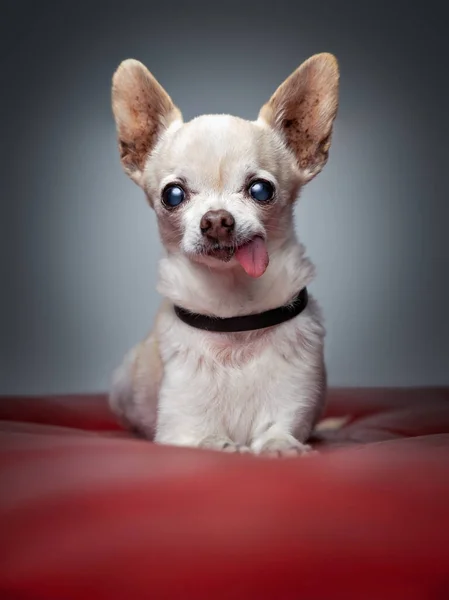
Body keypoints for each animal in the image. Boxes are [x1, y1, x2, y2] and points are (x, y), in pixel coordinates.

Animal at [109, 54, 340, 454]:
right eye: (173, 195)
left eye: (261, 190)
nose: (216, 220)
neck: (234, 317)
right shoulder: (179, 428)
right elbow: (207, 440)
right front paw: (224, 445)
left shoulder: (294, 403)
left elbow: (280, 432)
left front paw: (280, 448)